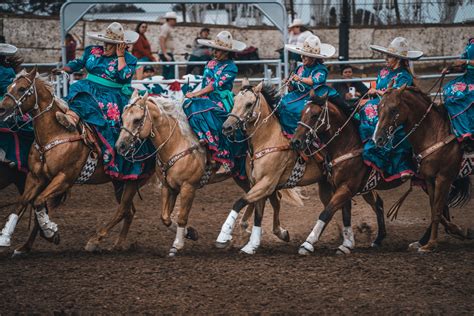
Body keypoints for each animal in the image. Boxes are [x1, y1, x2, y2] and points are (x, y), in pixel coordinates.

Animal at [0, 68, 146, 256]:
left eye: (22, 88)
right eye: (9, 86)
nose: (2, 108)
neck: (55, 134)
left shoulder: (64, 178)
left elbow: (39, 202)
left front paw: (50, 231)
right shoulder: (35, 177)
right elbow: (23, 202)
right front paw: (7, 238)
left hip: (131, 182)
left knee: (123, 210)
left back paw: (96, 241)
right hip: (119, 183)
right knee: (129, 211)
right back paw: (118, 244)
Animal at [217, 82, 386, 256]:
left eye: (249, 104)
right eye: (234, 101)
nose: (227, 127)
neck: (268, 141)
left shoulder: (266, 183)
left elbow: (240, 202)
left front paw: (224, 236)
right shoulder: (259, 184)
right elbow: (259, 213)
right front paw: (252, 244)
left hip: (357, 185)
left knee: (370, 203)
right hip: (330, 185)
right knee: (340, 206)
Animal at [290, 88, 472, 254]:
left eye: (314, 115)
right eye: (301, 114)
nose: (296, 141)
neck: (348, 144)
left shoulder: (347, 187)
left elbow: (326, 212)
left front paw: (308, 243)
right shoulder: (341, 187)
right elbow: (345, 214)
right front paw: (346, 244)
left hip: (438, 178)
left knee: (440, 207)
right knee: (438, 208)